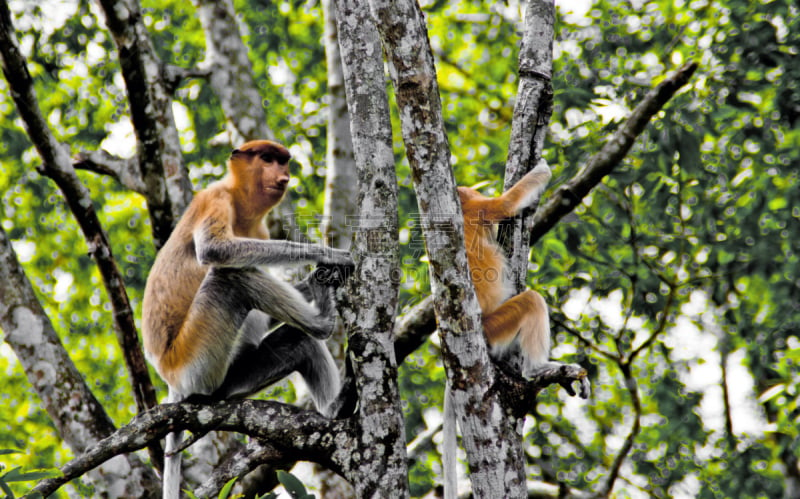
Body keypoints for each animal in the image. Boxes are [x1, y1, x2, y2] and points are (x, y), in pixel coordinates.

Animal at [141, 140, 354, 499]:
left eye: (283, 162)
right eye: (267, 159)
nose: (283, 177)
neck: (241, 202)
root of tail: (171, 379)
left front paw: (318, 276)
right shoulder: (215, 198)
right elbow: (216, 249)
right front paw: (327, 255)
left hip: (230, 376)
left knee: (298, 341)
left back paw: (335, 409)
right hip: (197, 363)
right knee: (229, 276)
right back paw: (323, 323)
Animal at [444, 160, 552, 499]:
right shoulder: (479, 207)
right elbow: (506, 204)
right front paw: (543, 167)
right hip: (495, 326)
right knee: (532, 300)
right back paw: (537, 368)